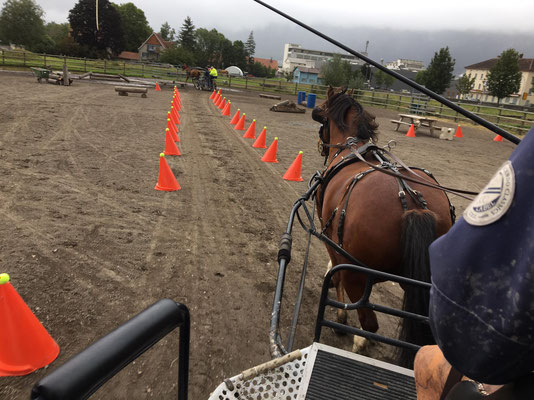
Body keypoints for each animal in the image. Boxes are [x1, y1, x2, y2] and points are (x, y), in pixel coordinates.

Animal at [314, 87, 456, 366]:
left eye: (322, 111)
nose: (322, 147)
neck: (351, 148)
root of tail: (412, 204)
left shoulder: (331, 240)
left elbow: (335, 272)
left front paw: (339, 314)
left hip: (357, 275)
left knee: (369, 322)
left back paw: (359, 342)